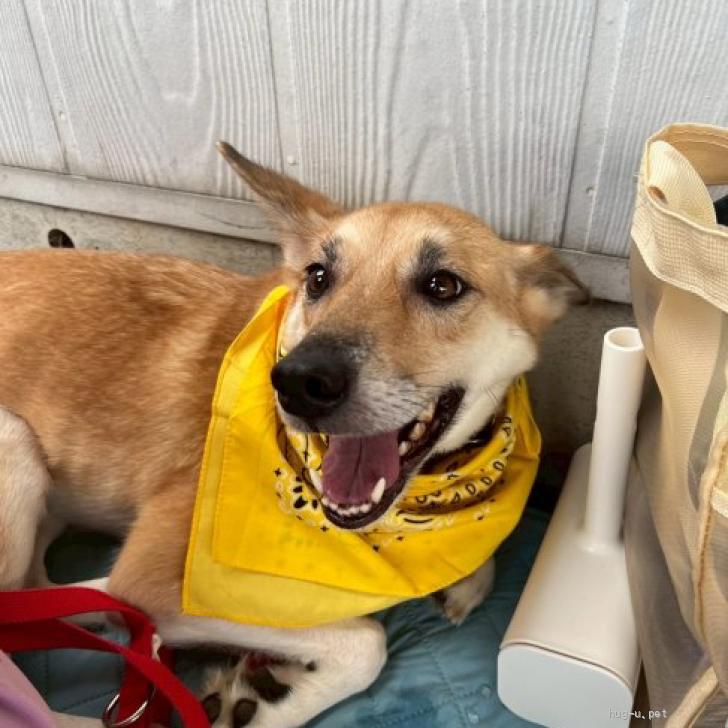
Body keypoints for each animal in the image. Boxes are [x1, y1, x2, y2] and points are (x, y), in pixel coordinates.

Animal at [0, 142, 587, 727]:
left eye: (443, 285)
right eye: (319, 277)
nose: (300, 382)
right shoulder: (156, 579)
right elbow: (365, 643)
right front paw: (267, 706)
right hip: (17, 444)